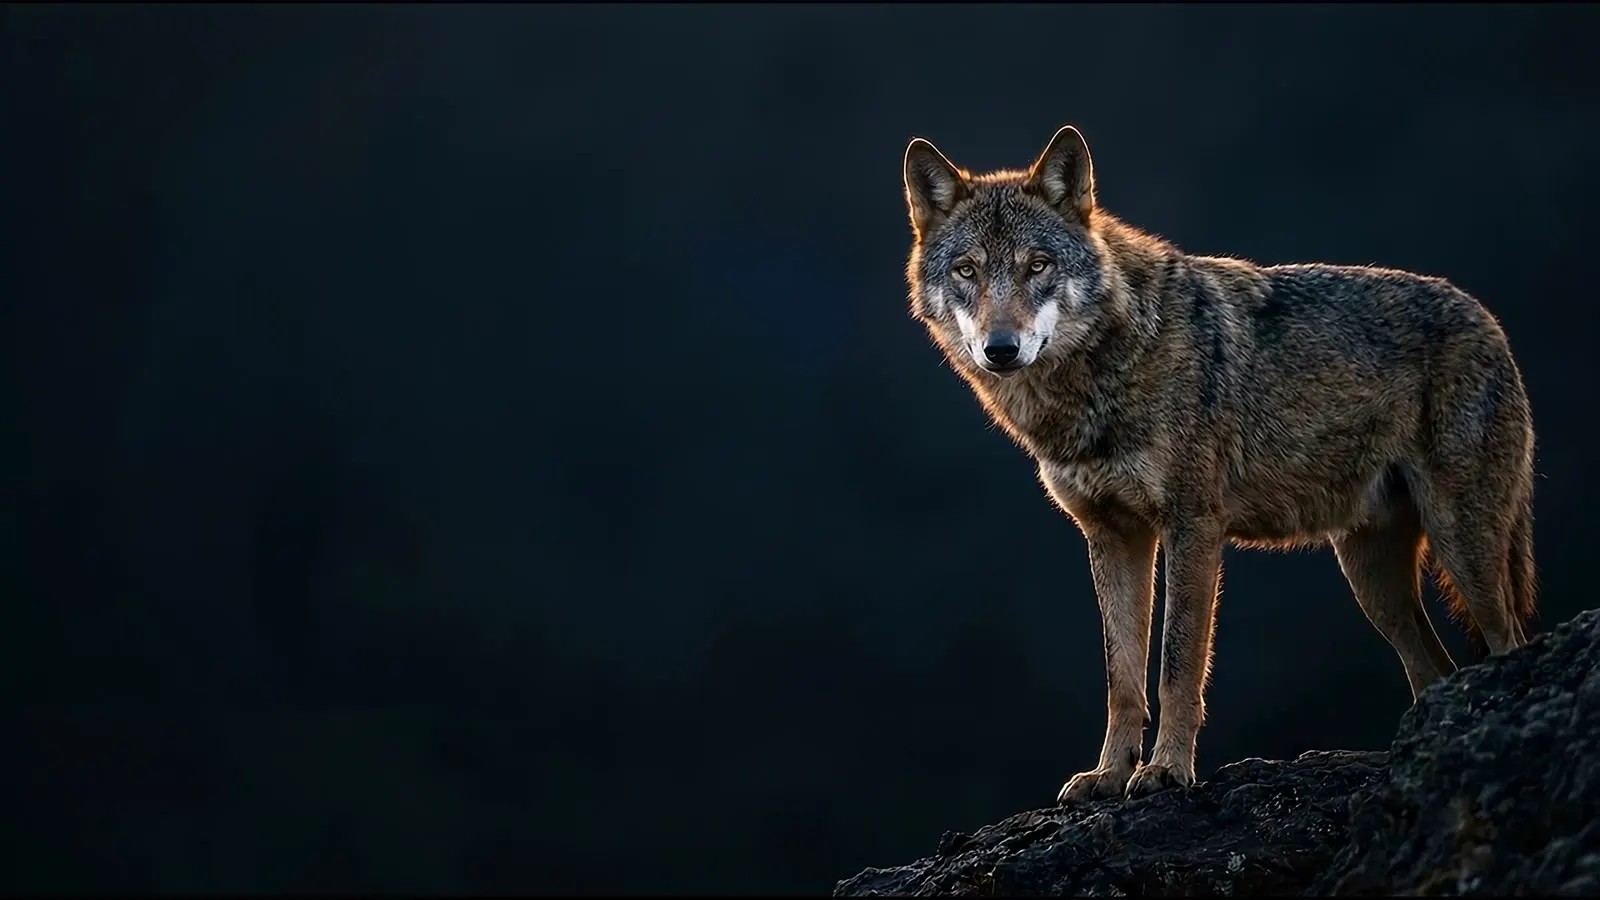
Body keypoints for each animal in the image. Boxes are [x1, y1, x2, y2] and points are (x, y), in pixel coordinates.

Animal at [900, 124, 1538, 804]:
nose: (1001, 348)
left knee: (1506, 642)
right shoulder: (1112, 536)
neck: (1103, 378)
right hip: (1372, 579)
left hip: (1461, 548)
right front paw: (1109, 774)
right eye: (968, 270)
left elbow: (1177, 665)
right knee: (1435, 670)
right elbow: (1122, 676)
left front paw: (1167, 770)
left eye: (1037, 266)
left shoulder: (1193, 528)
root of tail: (1488, 320)